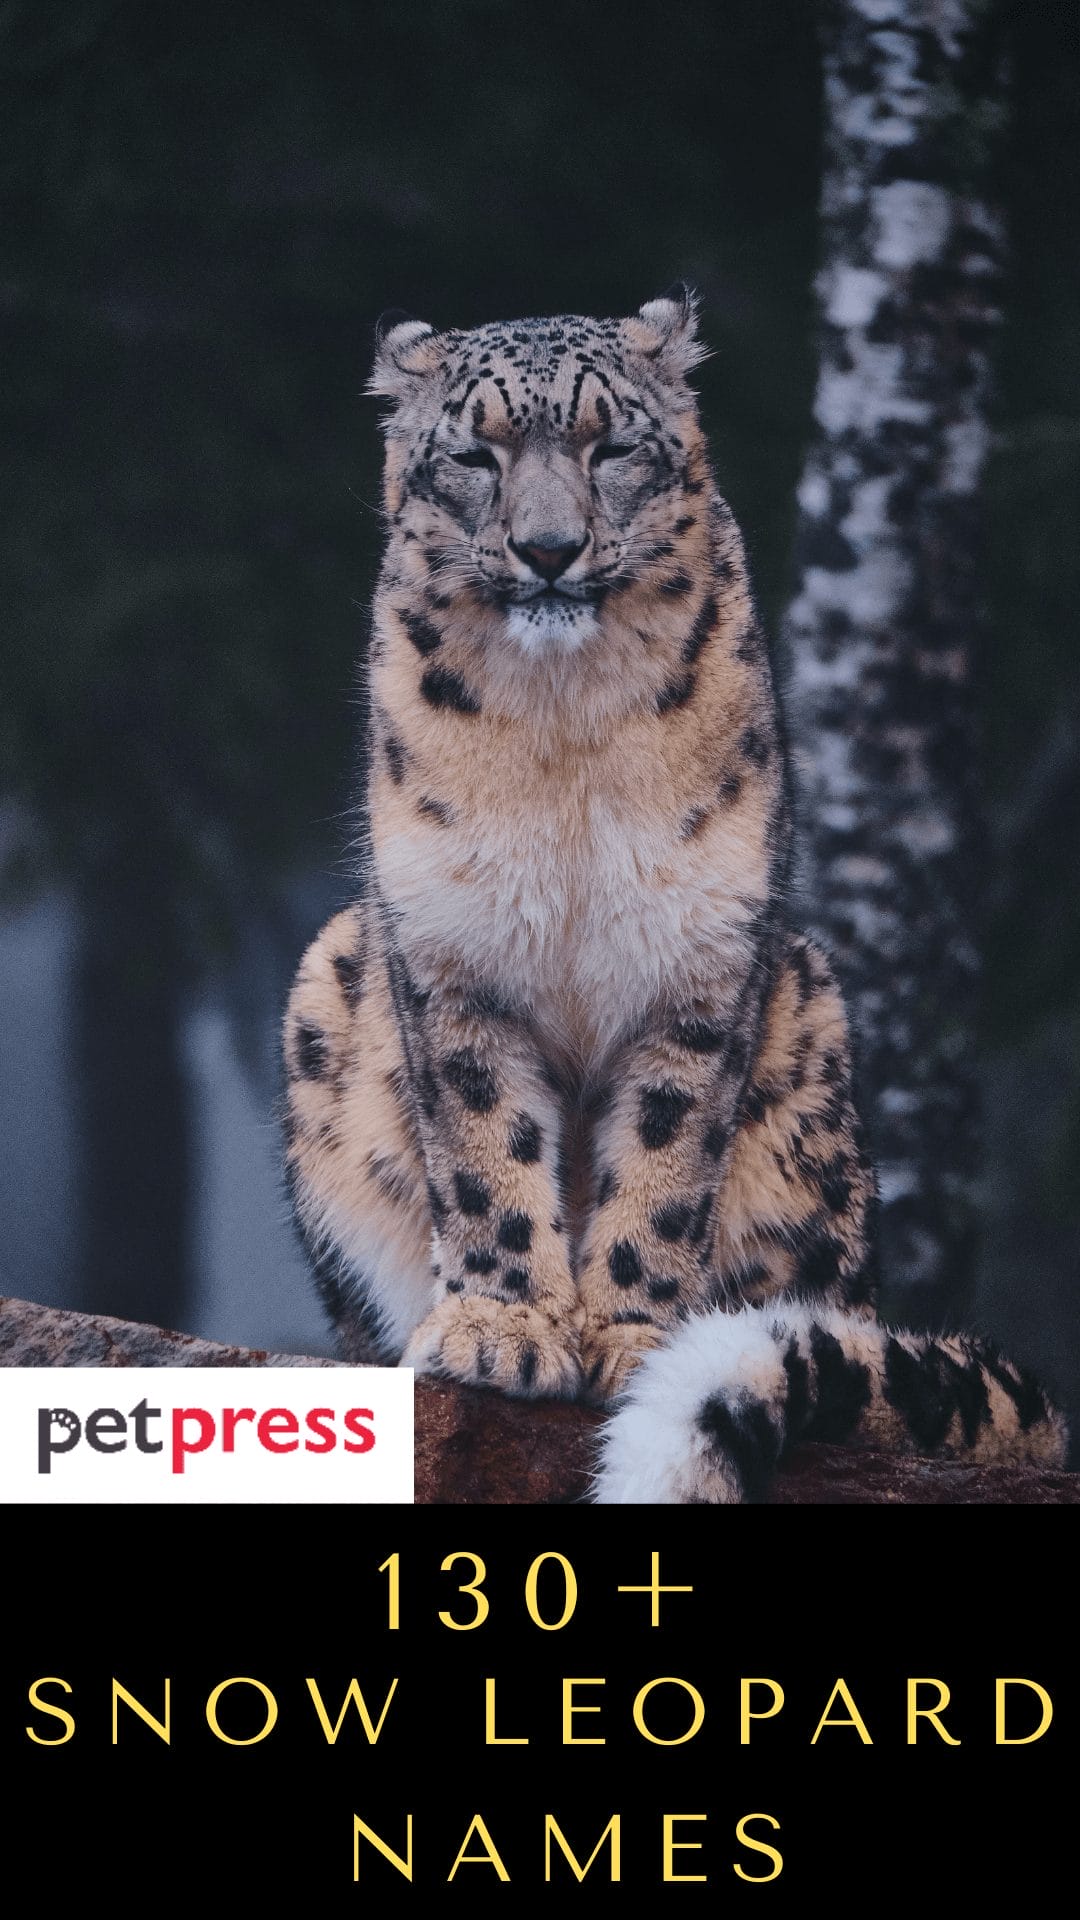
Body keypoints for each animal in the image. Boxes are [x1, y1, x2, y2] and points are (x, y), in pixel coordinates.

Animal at [282, 287, 1067, 1503]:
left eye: (611, 447)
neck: (560, 729)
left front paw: (631, 1340)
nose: (549, 549)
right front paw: (503, 1328)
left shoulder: (700, 959)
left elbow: (664, 1157)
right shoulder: (451, 949)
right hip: (330, 978)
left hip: (811, 1028)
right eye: (474, 453)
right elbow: (480, 1142)